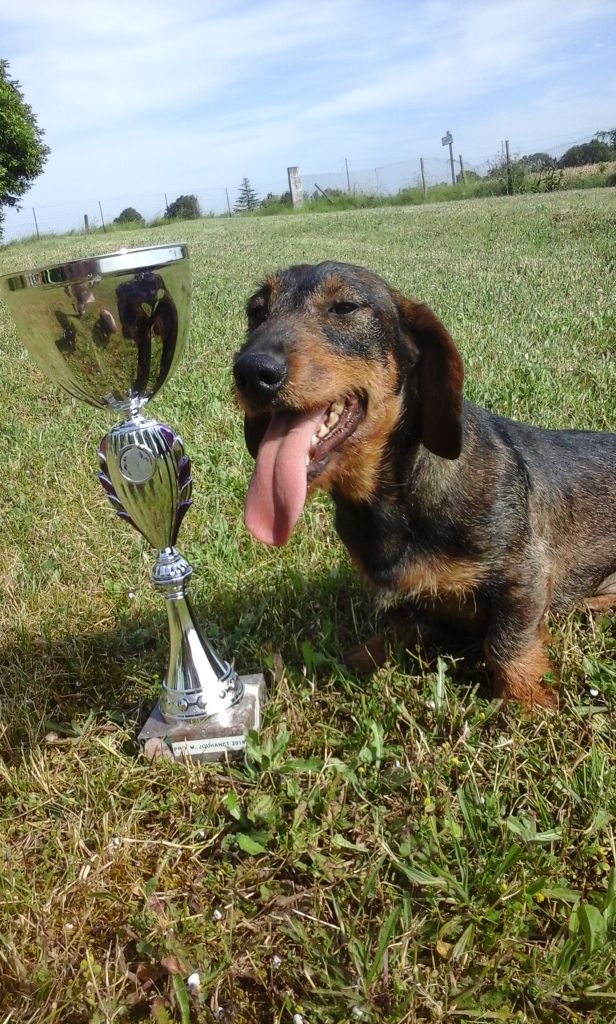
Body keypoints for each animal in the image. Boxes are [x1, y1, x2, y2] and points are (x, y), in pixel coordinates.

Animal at [232, 260, 613, 708]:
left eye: (345, 307)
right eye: (256, 311)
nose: (251, 372)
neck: (397, 494)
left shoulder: (525, 575)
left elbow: (507, 644)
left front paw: (526, 702)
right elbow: (396, 628)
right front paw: (360, 658)